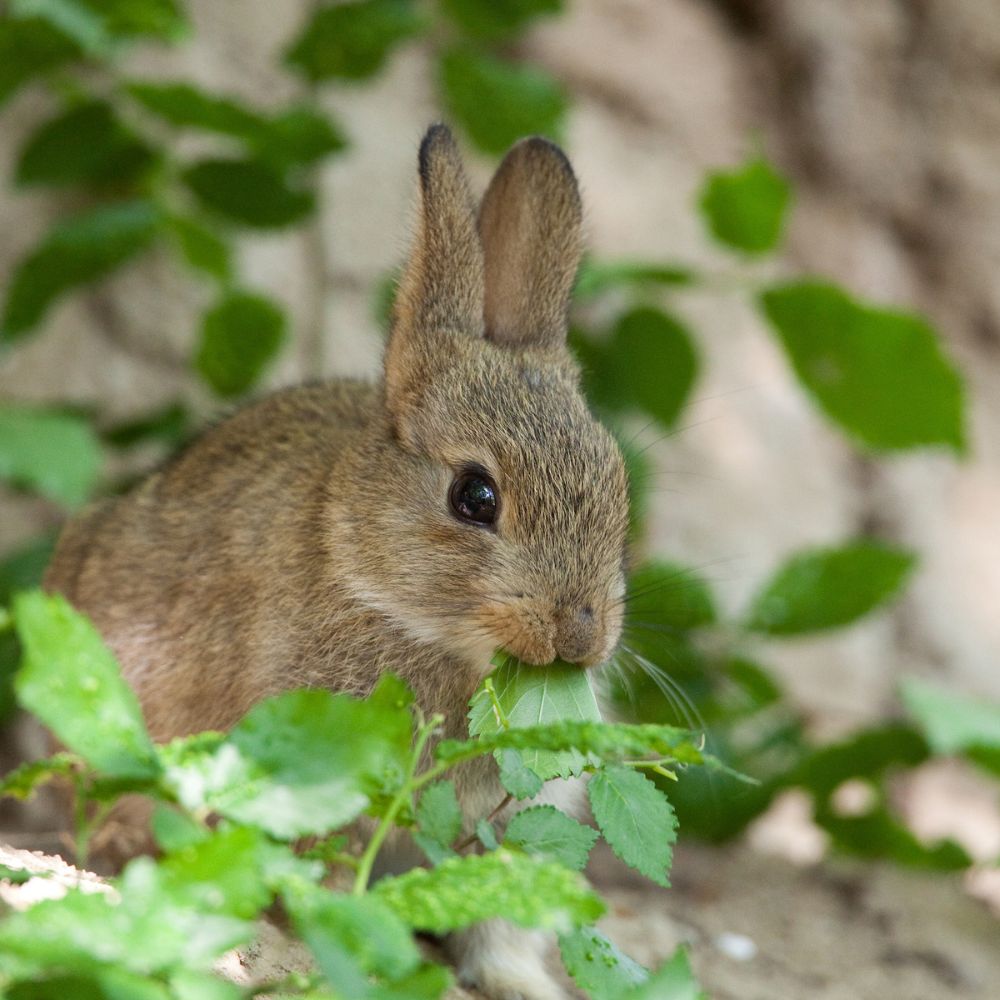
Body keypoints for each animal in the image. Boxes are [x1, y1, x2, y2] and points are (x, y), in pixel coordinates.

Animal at [47, 123, 628, 1000]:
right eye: (475, 496)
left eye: (618, 479)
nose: (580, 634)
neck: (376, 582)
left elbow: (498, 916)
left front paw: (520, 984)